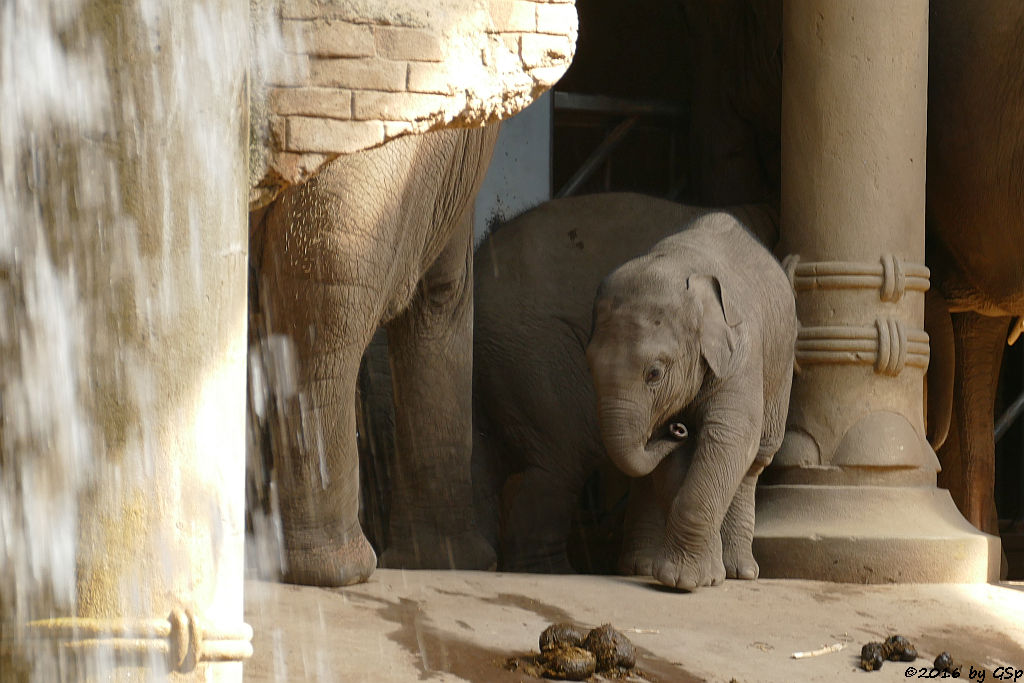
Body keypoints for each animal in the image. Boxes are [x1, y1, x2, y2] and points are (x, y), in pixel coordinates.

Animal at [585, 210, 798, 589]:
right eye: (589, 365)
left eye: (654, 373)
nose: (677, 429)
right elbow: (673, 465)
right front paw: (700, 576)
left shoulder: (741, 351)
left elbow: (730, 436)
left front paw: (685, 580)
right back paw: (640, 567)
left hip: (781, 363)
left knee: (755, 459)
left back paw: (741, 572)